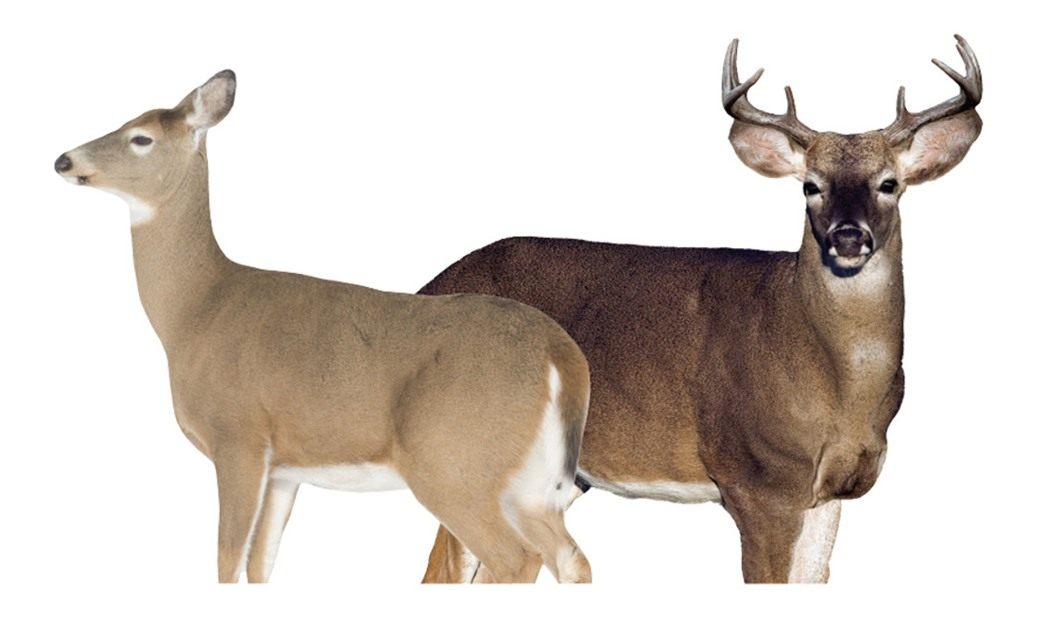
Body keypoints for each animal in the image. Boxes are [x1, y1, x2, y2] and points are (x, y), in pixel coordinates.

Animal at [53, 70, 594, 584]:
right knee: (571, 559)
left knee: (515, 559)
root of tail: (562, 355)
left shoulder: (239, 436)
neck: (197, 310)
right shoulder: (284, 469)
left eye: (140, 137)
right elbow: (261, 564)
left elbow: (227, 560)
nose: (63, 161)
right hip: (531, 482)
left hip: (453, 463)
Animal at [418, 35, 983, 583]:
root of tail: (426, 286)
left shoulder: (831, 491)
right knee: (445, 570)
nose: (848, 237)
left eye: (889, 183)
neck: (837, 385)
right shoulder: (757, 481)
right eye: (810, 186)